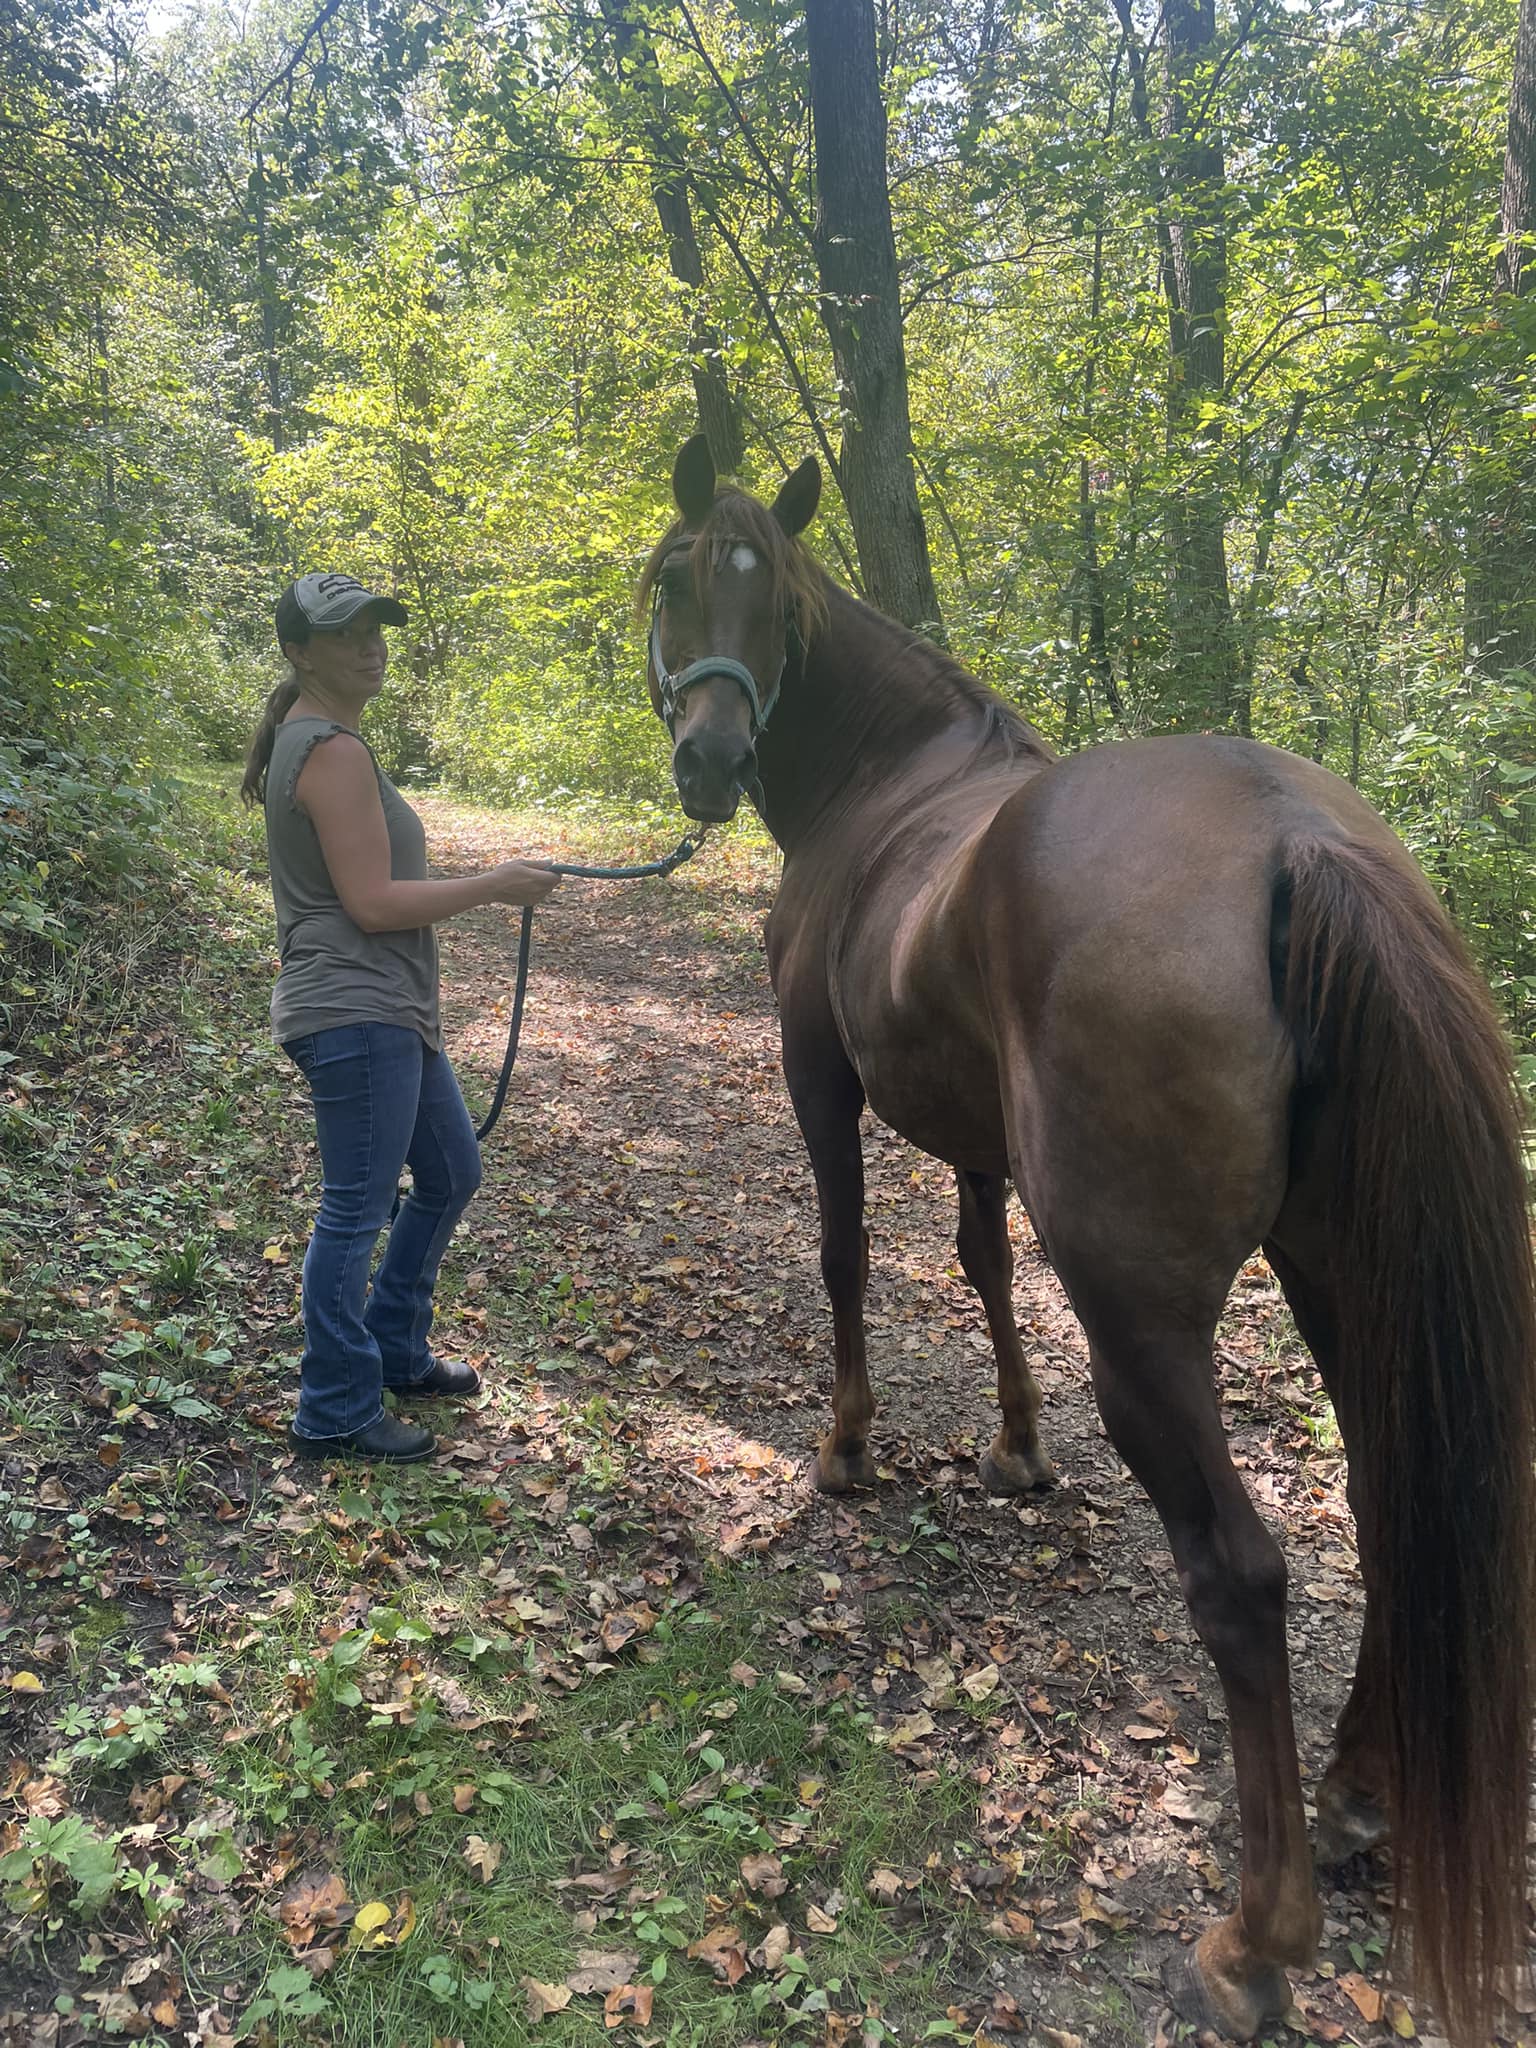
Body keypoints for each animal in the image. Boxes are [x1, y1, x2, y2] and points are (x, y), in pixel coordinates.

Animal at [634, 436, 1536, 2044]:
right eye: (678, 578)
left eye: (735, 584)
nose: (710, 759)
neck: (891, 786)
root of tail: (1293, 836)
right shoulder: (973, 1130)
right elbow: (982, 1266)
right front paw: (1014, 1445)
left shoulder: (820, 1072)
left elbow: (847, 1255)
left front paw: (848, 1445)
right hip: (1340, 1273)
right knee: (1384, 1501)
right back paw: (1359, 1799)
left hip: (1145, 1322)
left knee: (1242, 1574)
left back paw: (1257, 1937)